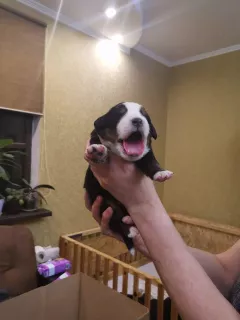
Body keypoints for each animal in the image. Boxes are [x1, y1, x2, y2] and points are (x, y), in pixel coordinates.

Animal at [84, 101, 172, 254]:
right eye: (120, 113)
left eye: (144, 115)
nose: (138, 120)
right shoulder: (94, 138)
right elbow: (97, 144)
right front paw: (98, 152)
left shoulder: (146, 152)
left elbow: (151, 161)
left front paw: (161, 173)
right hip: (104, 202)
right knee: (116, 219)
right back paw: (130, 230)